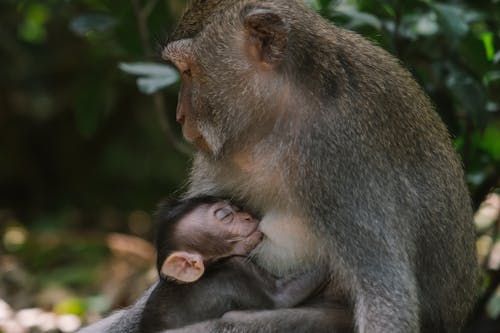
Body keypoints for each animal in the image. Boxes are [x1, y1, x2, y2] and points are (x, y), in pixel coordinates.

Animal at [139, 196, 330, 330]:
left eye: (237, 208)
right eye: (224, 215)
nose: (247, 216)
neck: (211, 266)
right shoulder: (237, 270)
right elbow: (283, 296)